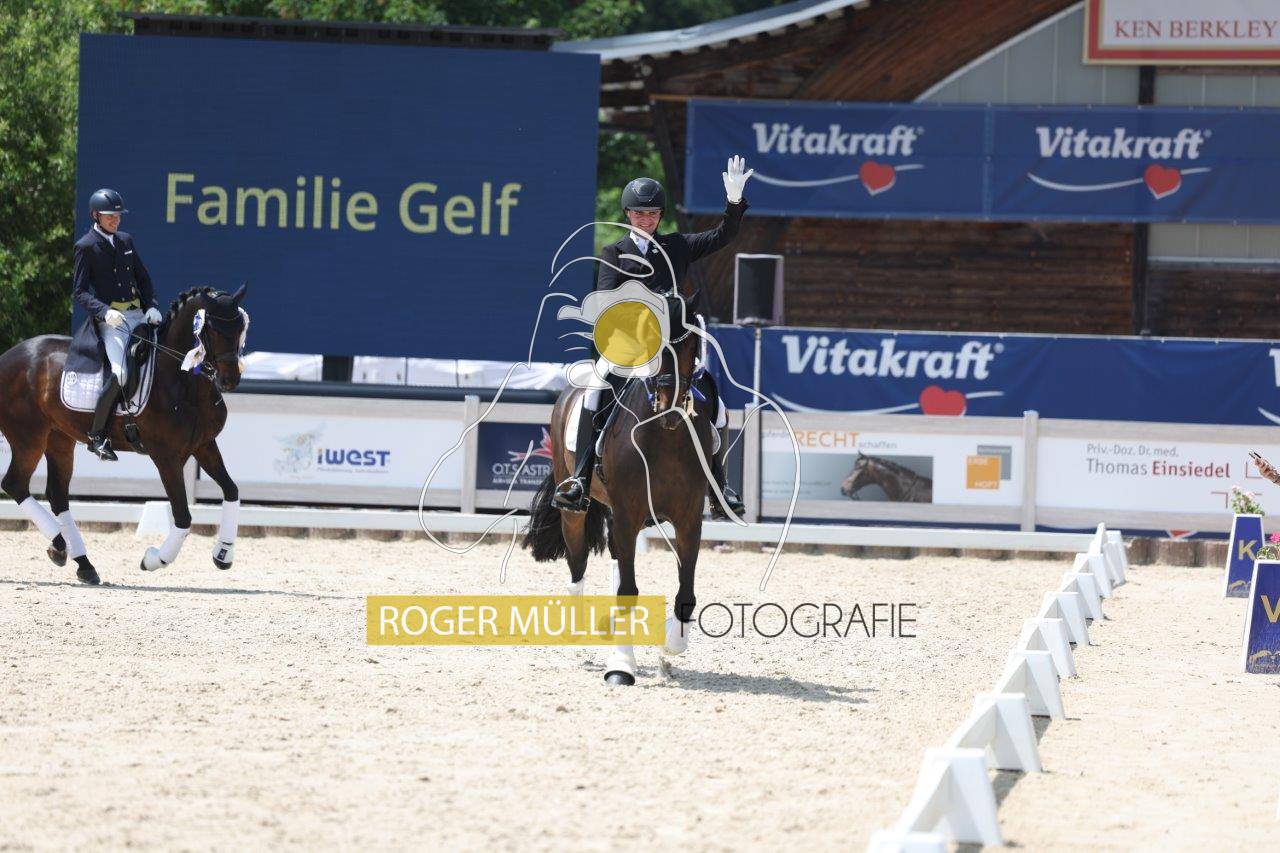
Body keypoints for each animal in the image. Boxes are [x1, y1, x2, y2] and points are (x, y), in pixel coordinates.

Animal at [0, 285, 249, 585]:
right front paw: (154, 559)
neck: (182, 380)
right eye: (211, 330)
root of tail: (7, 357)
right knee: (15, 484)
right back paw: (59, 544)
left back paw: (83, 564)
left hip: (59, 439)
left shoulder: (204, 445)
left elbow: (232, 491)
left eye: (241, 328)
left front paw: (223, 553)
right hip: (28, 438)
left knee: (57, 495)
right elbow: (182, 516)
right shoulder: (166, 456)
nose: (229, 380)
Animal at [522, 291, 715, 685]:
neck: (663, 434)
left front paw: (670, 647)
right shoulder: (628, 513)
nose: (670, 401)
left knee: (614, 558)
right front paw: (621, 667)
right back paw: (577, 632)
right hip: (575, 509)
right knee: (578, 563)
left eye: (691, 345)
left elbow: (685, 592)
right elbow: (628, 590)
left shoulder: (688, 520)